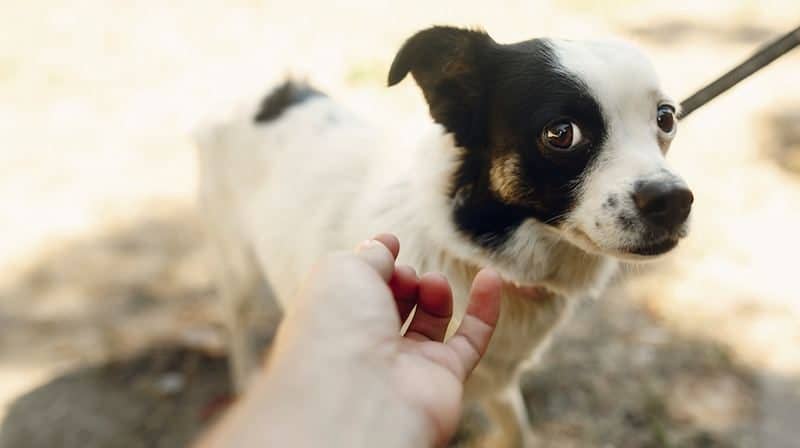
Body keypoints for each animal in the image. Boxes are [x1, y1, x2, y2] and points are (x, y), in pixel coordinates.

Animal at [197, 26, 692, 446]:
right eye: (560, 133)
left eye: (666, 118)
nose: (675, 201)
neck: (474, 251)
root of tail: (268, 91)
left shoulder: (495, 383)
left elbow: (516, 429)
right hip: (234, 262)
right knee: (236, 320)